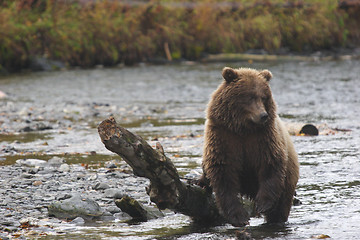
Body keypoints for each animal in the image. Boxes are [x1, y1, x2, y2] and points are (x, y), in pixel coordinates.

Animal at [201, 66, 300, 227]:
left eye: (263, 97)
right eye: (250, 96)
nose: (263, 115)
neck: (243, 129)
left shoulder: (263, 138)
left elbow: (271, 163)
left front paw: (262, 204)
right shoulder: (224, 136)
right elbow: (223, 172)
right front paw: (239, 217)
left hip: (288, 183)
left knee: (280, 208)